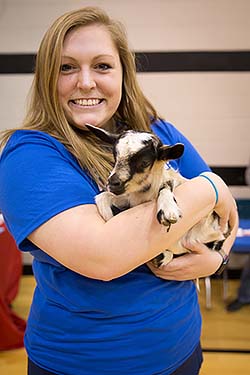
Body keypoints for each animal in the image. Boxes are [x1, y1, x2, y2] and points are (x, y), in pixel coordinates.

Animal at [86, 125, 229, 268]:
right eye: (115, 157)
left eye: (144, 162)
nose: (112, 183)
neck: (144, 195)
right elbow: (102, 197)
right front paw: (108, 216)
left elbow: (166, 187)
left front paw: (168, 210)